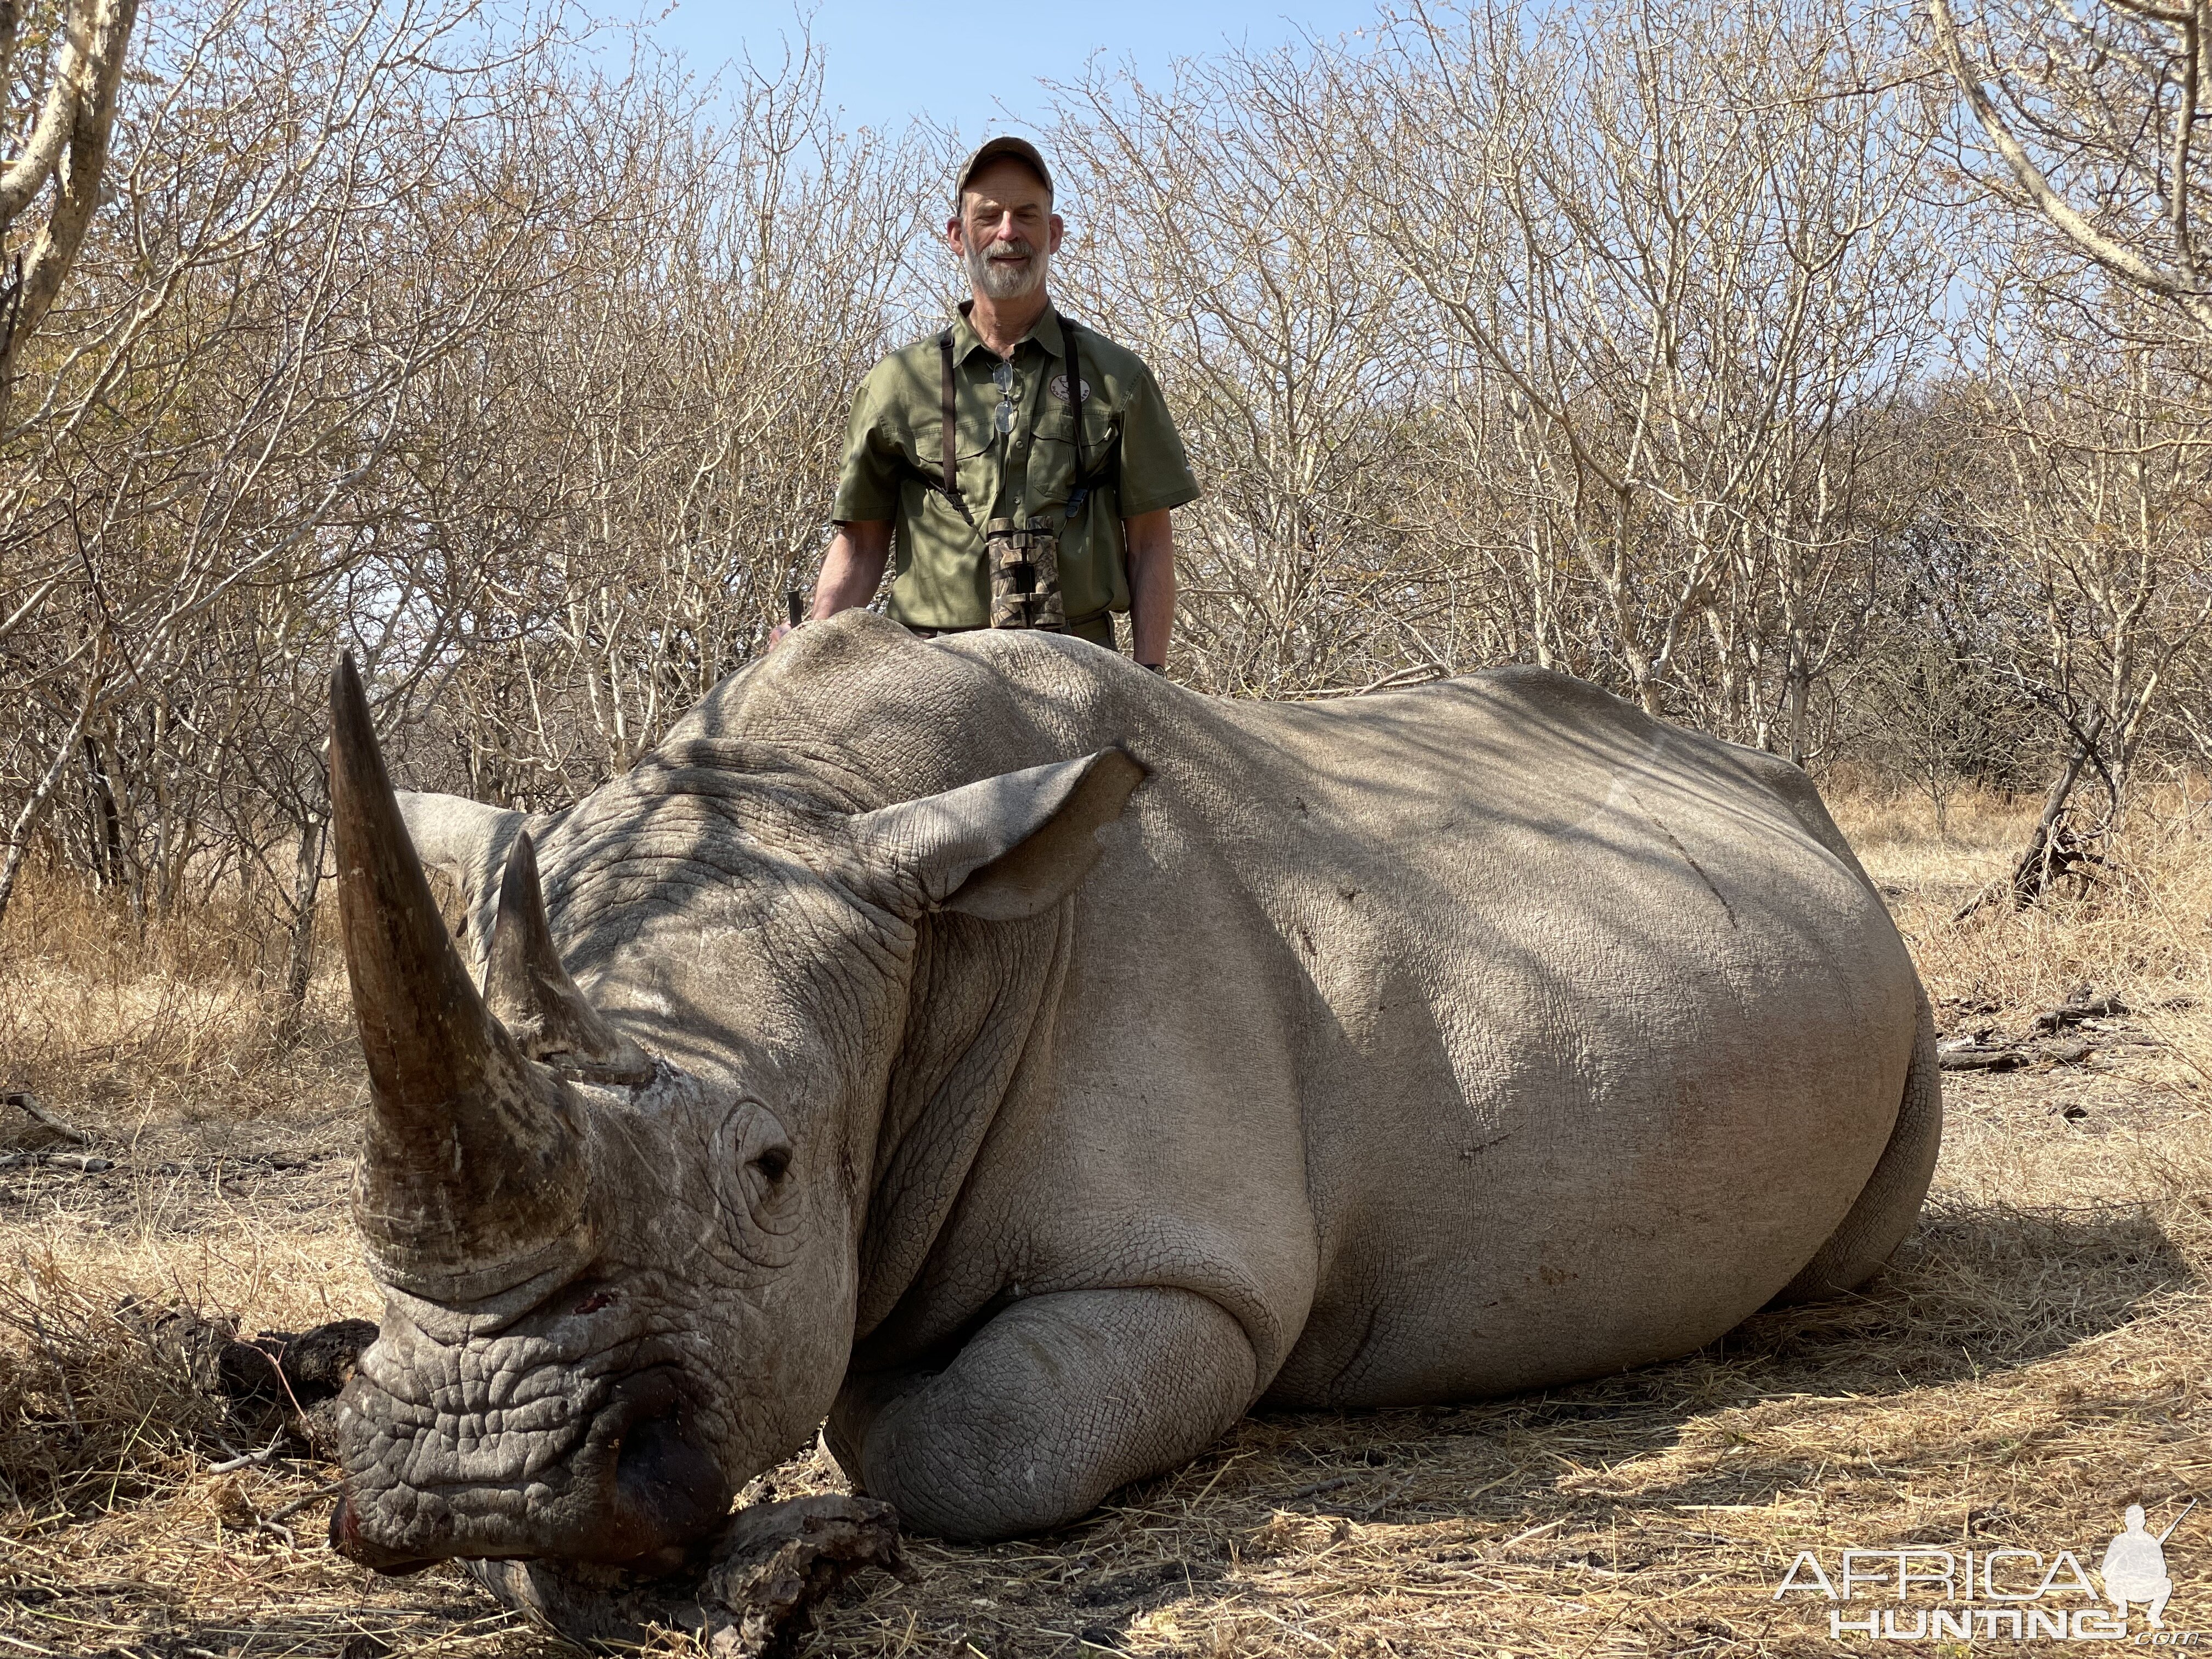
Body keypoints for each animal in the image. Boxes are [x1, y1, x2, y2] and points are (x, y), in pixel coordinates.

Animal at [323, 610, 1938, 1575]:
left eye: (771, 1169)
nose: (474, 1489)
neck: (834, 805)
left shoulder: (1192, 1275)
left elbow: (968, 1441)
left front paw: (865, 1416)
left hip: (1890, 967)